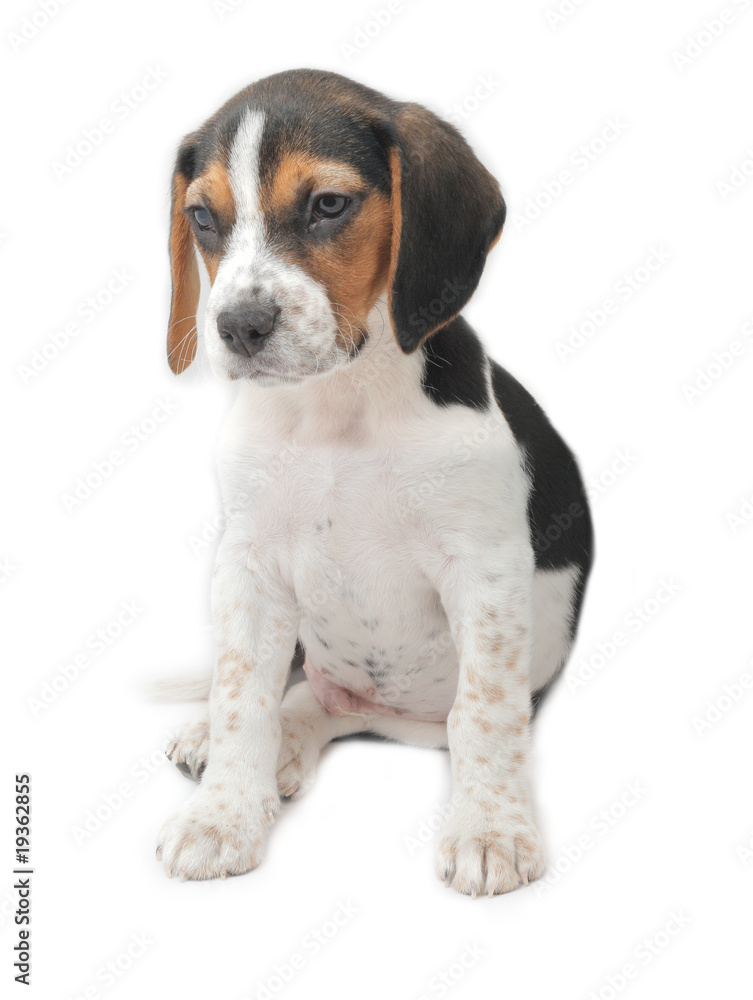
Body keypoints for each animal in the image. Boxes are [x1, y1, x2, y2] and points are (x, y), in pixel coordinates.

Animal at [157, 70, 592, 900]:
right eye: (201, 216)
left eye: (328, 205)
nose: (238, 327)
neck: (339, 406)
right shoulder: (248, 569)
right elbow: (241, 697)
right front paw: (222, 817)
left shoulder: (484, 572)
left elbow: (485, 714)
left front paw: (489, 830)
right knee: (298, 691)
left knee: (340, 707)